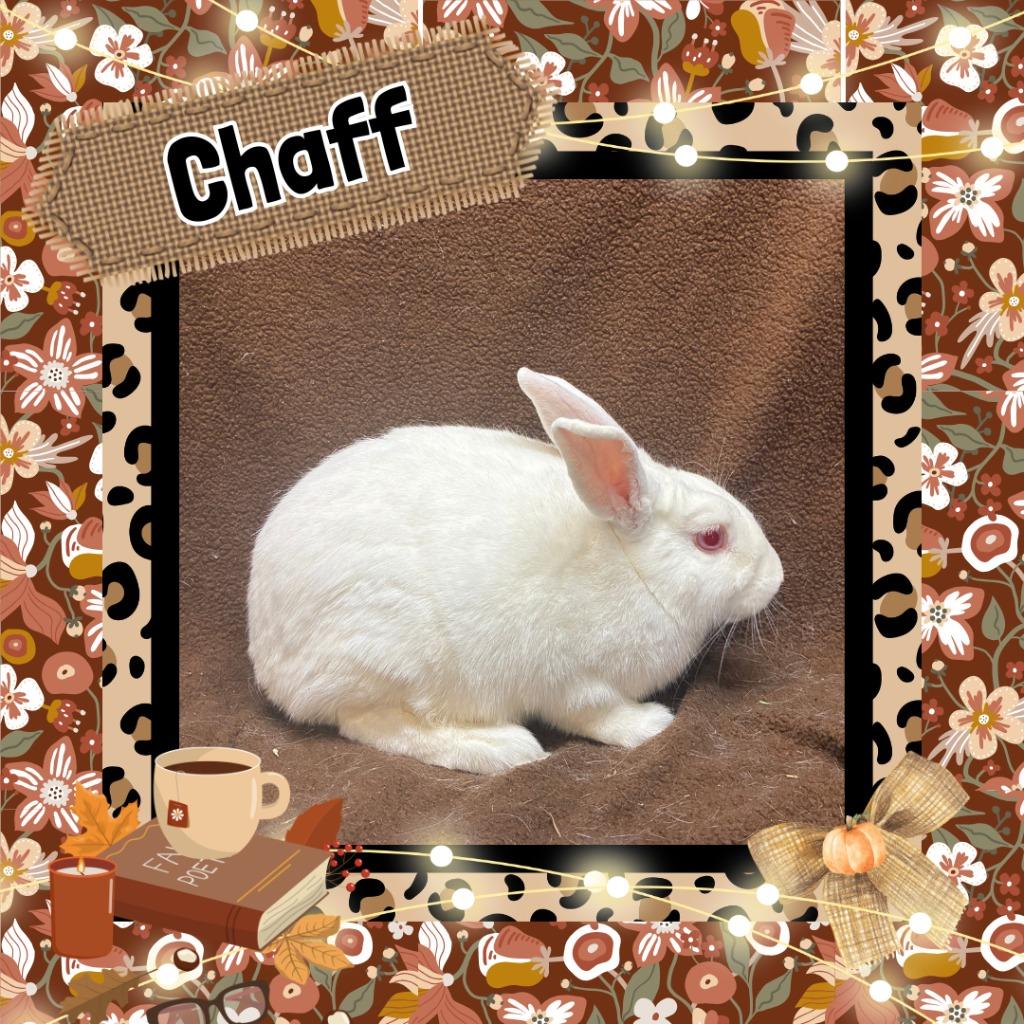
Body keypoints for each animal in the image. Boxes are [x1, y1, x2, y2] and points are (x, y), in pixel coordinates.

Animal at [247, 368, 783, 774]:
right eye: (711, 538)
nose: (775, 577)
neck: (637, 572)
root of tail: (267, 658)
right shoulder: (573, 680)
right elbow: (597, 714)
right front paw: (651, 724)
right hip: (387, 657)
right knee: (371, 723)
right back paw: (501, 748)